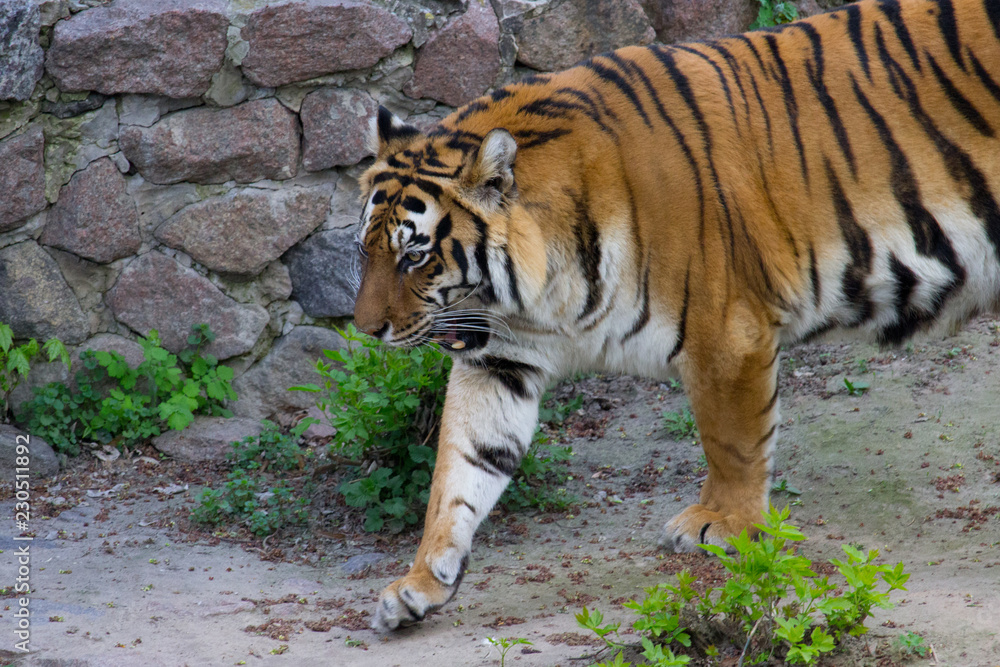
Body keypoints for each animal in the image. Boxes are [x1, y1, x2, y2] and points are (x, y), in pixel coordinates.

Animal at [352, 0, 1000, 631]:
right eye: (366, 250)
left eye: (416, 255)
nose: (365, 330)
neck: (535, 293)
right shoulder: (500, 359)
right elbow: (459, 470)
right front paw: (420, 583)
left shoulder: (727, 335)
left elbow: (732, 440)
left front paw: (724, 524)